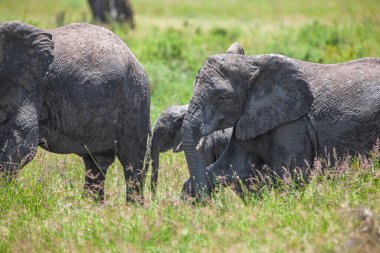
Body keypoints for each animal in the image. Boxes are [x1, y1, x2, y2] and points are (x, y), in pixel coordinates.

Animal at [0, 21, 151, 204]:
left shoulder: (31, 88)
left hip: (134, 100)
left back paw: (131, 208)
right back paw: (92, 206)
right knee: (96, 163)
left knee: (132, 160)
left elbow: (20, 145)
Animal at [182, 43, 380, 198]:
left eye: (221, 98)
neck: (252, 62)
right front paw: (188, 197)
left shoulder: (292, 124)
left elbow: (291, 175)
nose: (205, 201)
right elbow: (234, 166)